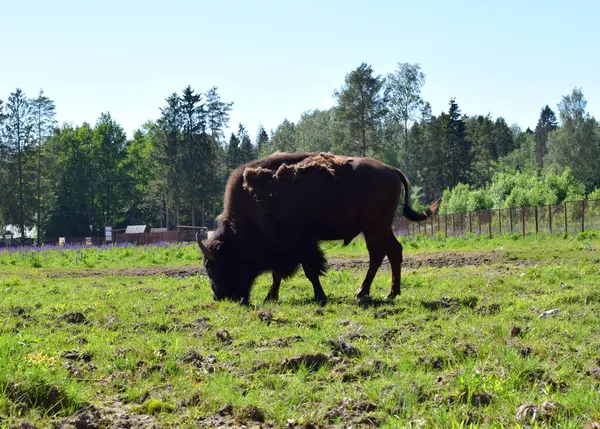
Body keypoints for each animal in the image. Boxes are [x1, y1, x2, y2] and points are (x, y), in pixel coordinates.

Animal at [199, 151, 438, 304]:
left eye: (215, 266)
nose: (221, 297)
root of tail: (392, 170)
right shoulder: (288, 249)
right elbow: (280, 274)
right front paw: (271, 297)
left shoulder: (301, 245)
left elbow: (309, 271)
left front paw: (319, 297)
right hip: (380, 227)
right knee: (392, 251)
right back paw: (390, 293)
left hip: (374, 227)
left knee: (378, 254)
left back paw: (362, 293)